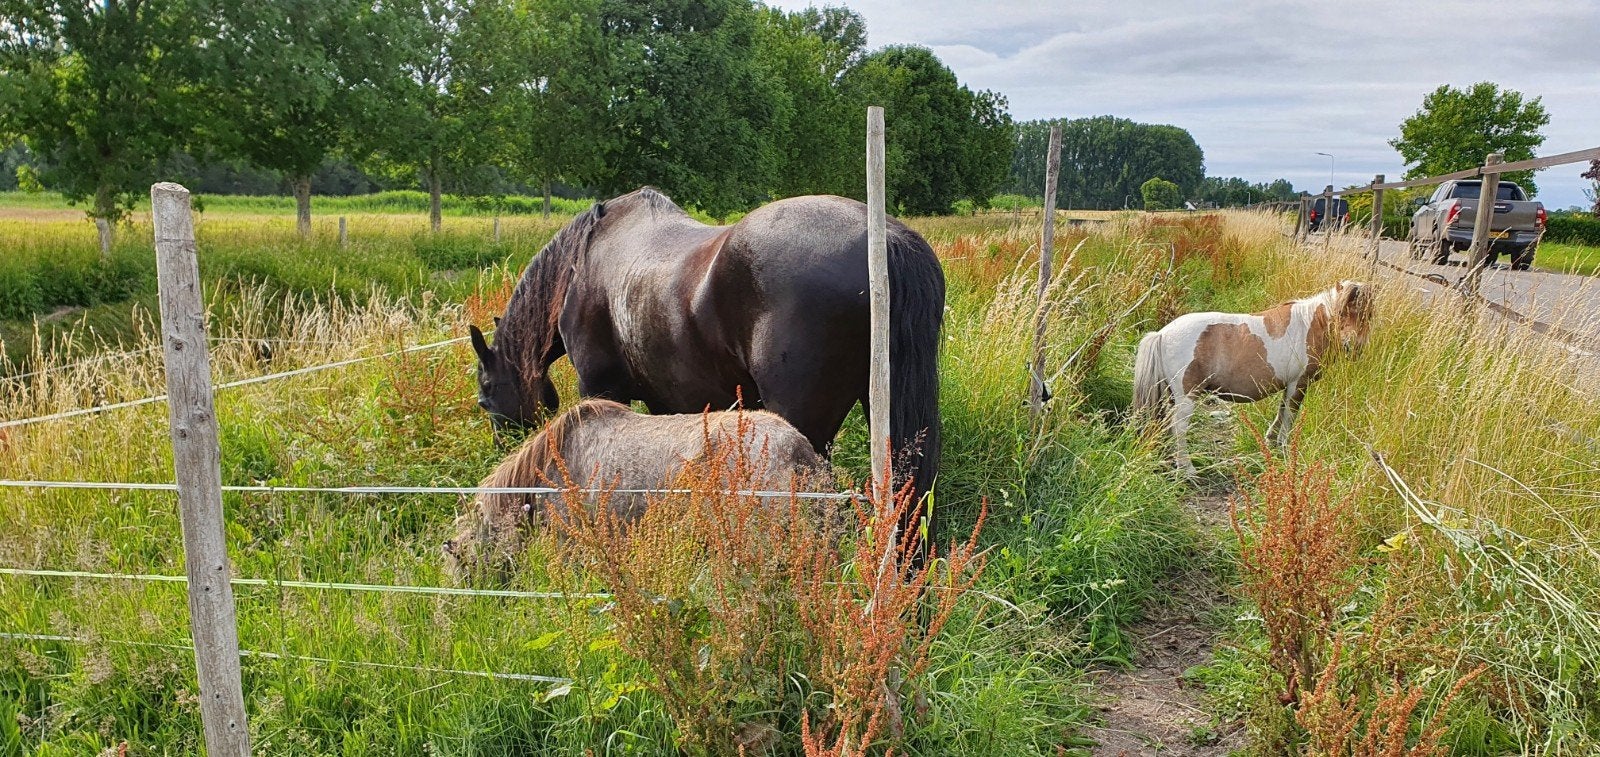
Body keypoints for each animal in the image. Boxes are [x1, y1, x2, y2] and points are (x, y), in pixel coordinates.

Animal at [467, 187, 944, 548]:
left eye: (485, 399)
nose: (500, 449)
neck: (583, 263)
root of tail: (885, 237)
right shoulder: (666, 403)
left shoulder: (600, 388)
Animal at [1132, 280, 1374, 476]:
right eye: (1342, 312)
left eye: (1368, 314)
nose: (1354, 347)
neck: (1310, 325)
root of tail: (1161, 334)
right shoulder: (1298, 385)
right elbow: (1289, 417)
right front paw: (1284, 450)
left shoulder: (1289, 386)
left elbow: (1281, 412)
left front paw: (1271, 441)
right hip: (1186, 396)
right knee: (1179, 428)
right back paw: (1188, 469)